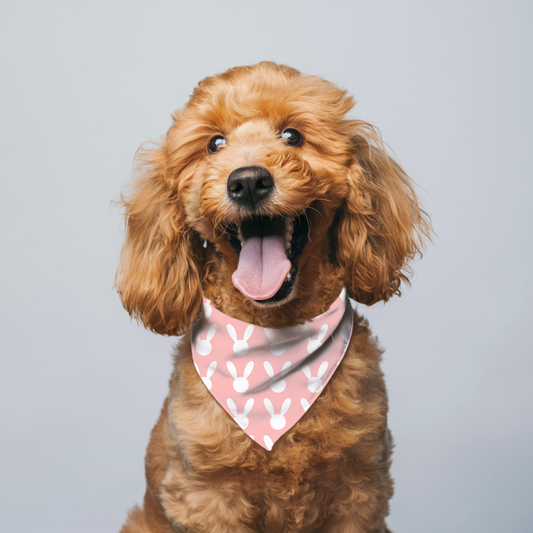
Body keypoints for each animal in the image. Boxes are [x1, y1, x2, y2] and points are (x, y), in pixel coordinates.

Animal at [115, 60, 428, 528]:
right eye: (214, 144)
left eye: (292, 136)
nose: (247, 181)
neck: (272, 340)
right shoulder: (208, 497)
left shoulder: (360, 491)